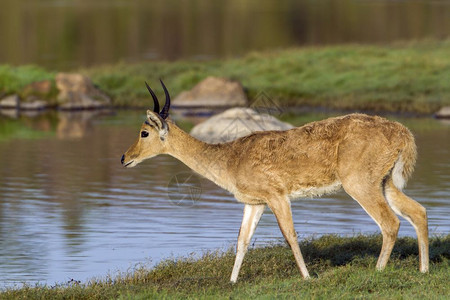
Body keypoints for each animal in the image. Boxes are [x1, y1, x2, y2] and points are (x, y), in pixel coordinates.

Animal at [120, 79, 428, 282]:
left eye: (144, 132)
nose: (124, 158)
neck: (230, 158)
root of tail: (401, 131)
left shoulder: (277, 196)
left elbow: (289, 235)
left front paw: (307, 278)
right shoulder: (255, 203)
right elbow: (242, 240)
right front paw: (232, 282)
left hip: (360, 185)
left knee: (390, 222)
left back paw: (378, 270)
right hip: (385, 183)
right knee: (418, 211)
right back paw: (424, 269)